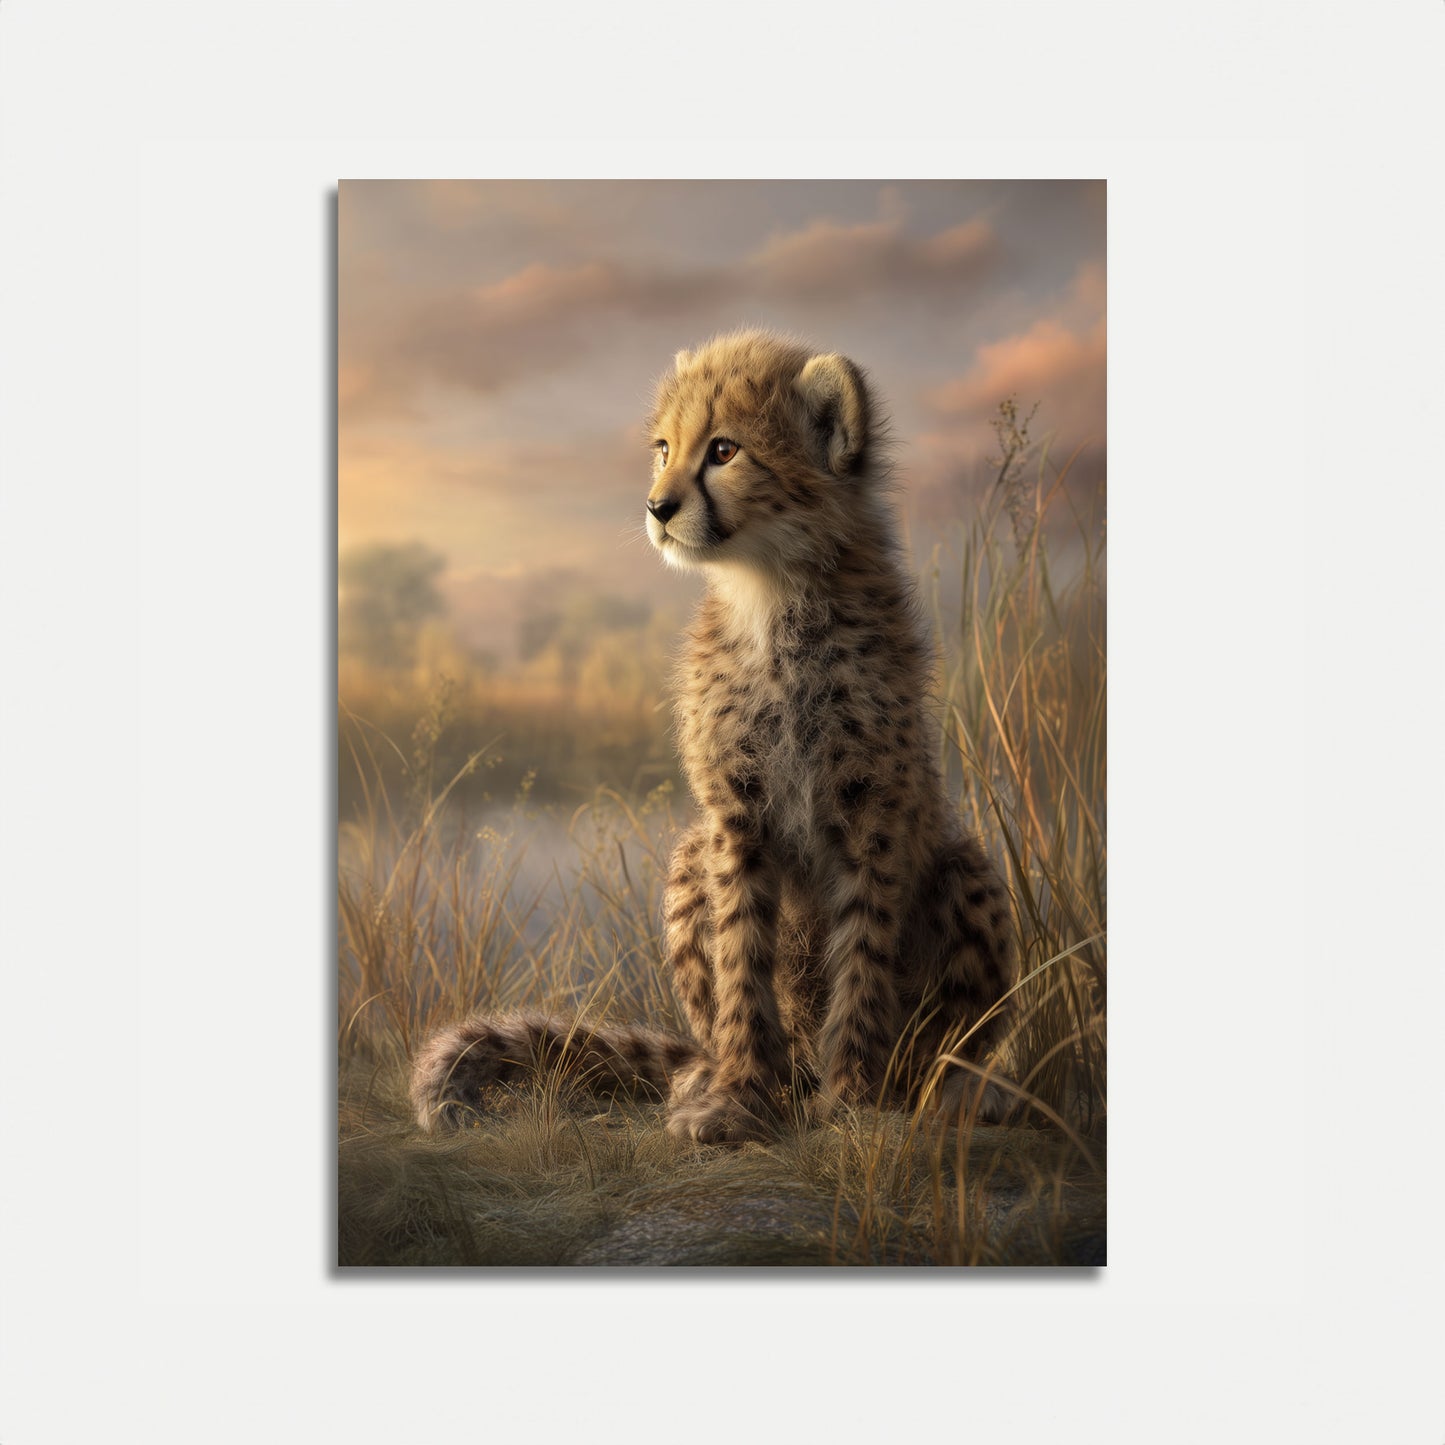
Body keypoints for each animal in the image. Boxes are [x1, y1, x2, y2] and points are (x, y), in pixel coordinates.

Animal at [410, 329, 1018, 1145]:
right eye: (664, 449)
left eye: (724, 450)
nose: (656, 505)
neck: (770, 592)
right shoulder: (735, 814)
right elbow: (740, 957)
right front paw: (738, 1096)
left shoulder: (874, 809)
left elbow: (864, 954)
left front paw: (854, 1103)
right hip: (688, 856)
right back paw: (723, 1076)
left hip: (964, 865)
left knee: (946, 1035)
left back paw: (949, 1091)